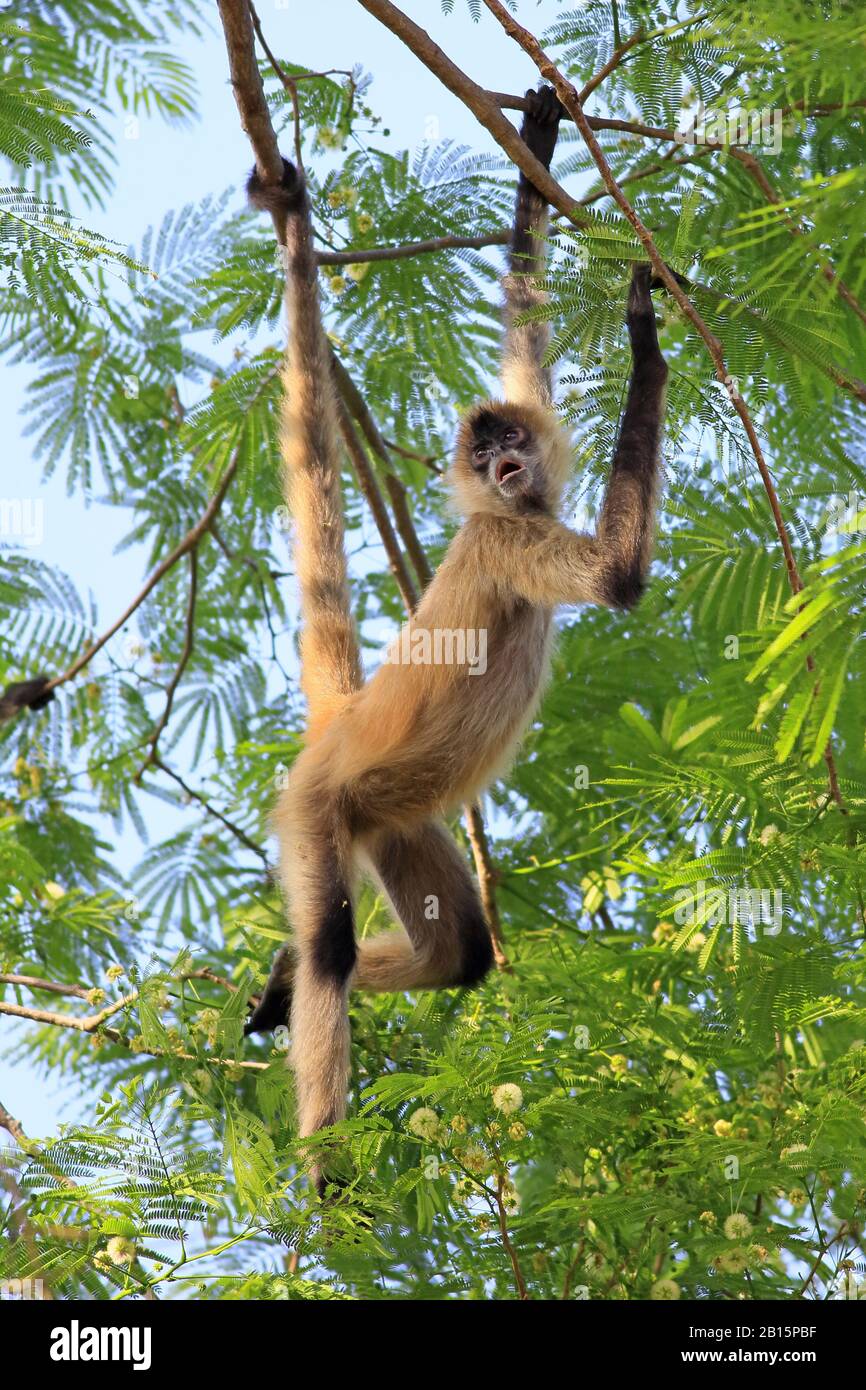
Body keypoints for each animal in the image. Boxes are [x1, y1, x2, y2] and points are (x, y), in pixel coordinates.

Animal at [244, 86, 670, 1195]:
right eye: (484, 460)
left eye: (511, 440)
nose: (508, 465)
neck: (508, 510)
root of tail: (343, 720)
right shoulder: (500, 539)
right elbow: (614, 576)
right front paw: (644, 332)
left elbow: (525, 338)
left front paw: (536, 162)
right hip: (319, 810)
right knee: (332, 945)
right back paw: (327, 1168)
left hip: (389, 820)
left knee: (456, 956)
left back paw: (281, 982)